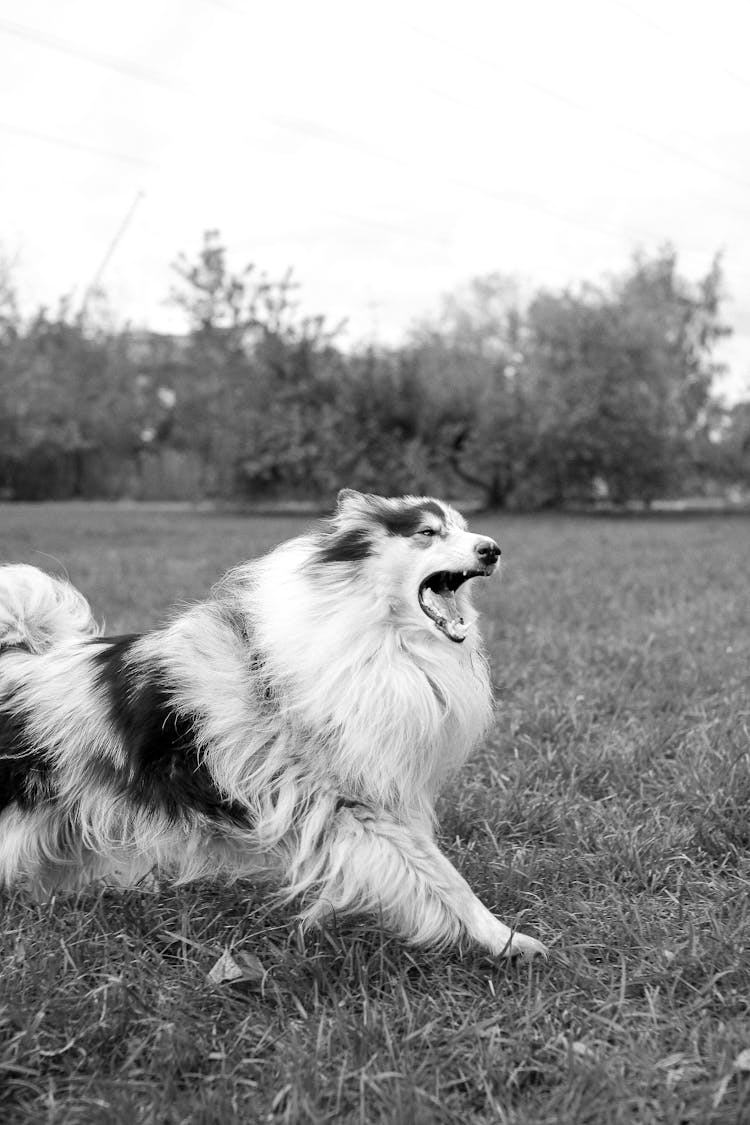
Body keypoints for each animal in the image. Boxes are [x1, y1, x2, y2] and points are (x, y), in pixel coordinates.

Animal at [0, 492, 546, 958]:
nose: (492, 549)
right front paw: (505, 941)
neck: (377, 636)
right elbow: (444, 877)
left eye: (465, 527)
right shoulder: (355, 803)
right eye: (428, 532)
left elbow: (433, 871)